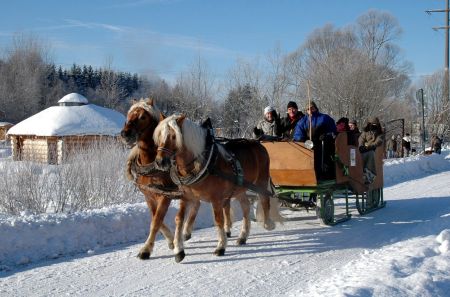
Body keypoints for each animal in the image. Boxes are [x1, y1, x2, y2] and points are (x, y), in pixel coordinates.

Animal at [120, 97, 200, 262]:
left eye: (142, 117)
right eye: (129, 114)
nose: (125, 134)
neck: (150, 161)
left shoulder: (165, 195)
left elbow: (156, 221)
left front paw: (146, 249)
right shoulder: (148, 195)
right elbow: (156, 218)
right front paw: (171, 241)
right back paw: (186, 233)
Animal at [156, 112, 282, 254]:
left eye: (173, 136)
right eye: (159, 135)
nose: (160, 162)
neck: (203, 163)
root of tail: (258, 142)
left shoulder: (216, 198)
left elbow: (218, 220)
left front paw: (221, 246)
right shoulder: (186, 196)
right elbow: (179, 219)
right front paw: (178, 248)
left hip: (261, 181)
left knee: (265, 200)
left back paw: (267, 223)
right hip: (240, 188)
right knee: (245, 207)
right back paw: (243, 236)